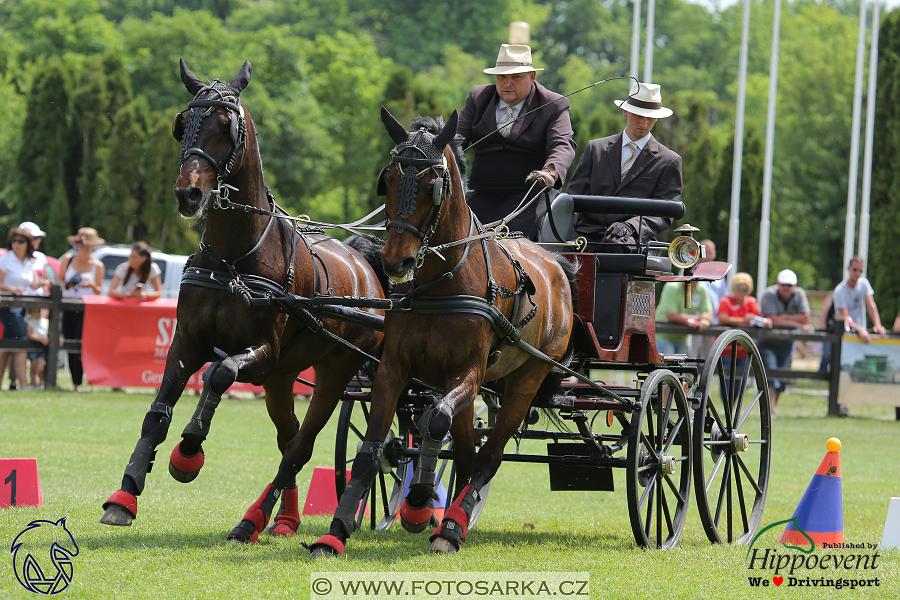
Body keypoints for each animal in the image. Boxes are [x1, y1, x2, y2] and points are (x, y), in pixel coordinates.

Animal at [100, 61, 384, 536]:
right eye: (184, 125)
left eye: (226, 126)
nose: (188, 194)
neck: (234, 257)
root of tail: (365, 266)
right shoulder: (188, 341)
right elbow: (157, 413)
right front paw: (125, 495)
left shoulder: (262, 352)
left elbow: (220, 373)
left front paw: (189, 452)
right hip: (282, 379)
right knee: (288, 437)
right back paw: (281, 518)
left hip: (333, 372)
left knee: (300, 446)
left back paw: (252, 519)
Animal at [298, 110, 572, 556]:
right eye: (389, 179)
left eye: (433, 186)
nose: (395, 262)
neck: (441, 284)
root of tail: (557, 264)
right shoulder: (395, 368)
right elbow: (372, 448)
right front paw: (337, 531)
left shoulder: (469, 373)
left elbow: (435, 420)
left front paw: (420, 503)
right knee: (466, 450)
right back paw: (451, 515)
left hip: (526, 378)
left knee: (488, 454)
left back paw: (451, 526)